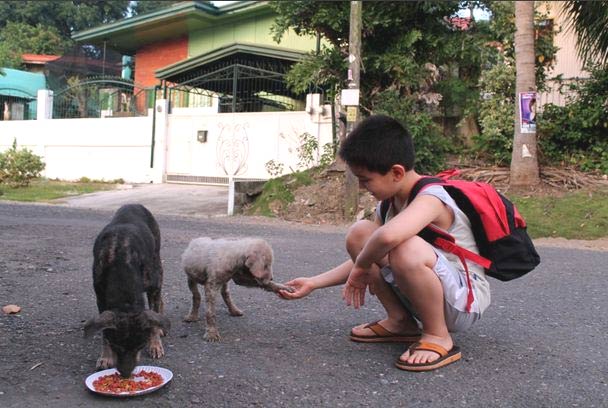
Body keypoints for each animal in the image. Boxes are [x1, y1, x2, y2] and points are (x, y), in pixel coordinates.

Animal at [83, 204, 169, 380]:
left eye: (140, 346)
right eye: (116, 346)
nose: (125, 374)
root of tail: (135, 204)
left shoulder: (152, 285)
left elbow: (153, 319)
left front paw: (155, 344)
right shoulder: (100, 297)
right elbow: (105, 332)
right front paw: (105, 357)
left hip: (157, 264)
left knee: (158, 300)